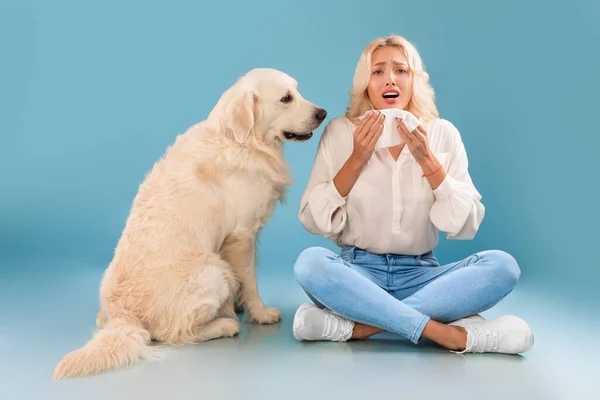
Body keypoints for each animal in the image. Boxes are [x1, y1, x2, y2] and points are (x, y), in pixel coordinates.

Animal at [54, 68, 328, 378]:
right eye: (286, 98)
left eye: (298, 90)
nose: (323, 113)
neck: (240, 140)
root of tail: (126, 316)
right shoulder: (241, 236)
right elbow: (250, 280)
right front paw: (260, 312)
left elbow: (244, 280)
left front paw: (237, 304)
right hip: (213, 271)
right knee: (176, 334)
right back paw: (225, 324)